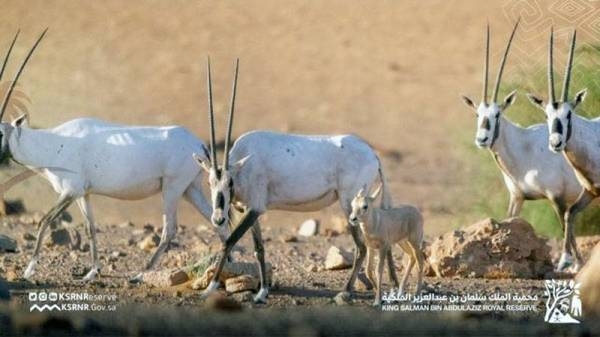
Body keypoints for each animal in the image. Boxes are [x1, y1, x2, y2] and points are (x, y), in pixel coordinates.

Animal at [462, 21, 584, 270]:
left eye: (497, 114)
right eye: (478, 114)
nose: (482, 139)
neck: (523, 149)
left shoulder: (557, 198)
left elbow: (567, 229)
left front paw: (575, 263)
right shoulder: (517, 197)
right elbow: (506, 223)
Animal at [528, 28, 596, 270]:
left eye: (569, 114)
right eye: (546, 115)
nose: (556, 142)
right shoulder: (590, 191)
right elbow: (568, 214)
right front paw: (567, 260)